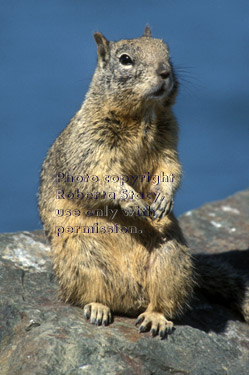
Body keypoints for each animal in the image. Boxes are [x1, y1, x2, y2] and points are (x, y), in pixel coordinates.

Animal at [39, 25, 249, 338]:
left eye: (167, 51)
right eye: (125, 59)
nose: (164, 71)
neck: (142, 116)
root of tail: (130, 298)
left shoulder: (168, 144)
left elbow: (170, 169)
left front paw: (163, 198)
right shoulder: (91, 147)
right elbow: (99, 176)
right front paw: (133, 201)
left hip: (171, 258)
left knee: (163, 301)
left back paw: (155, 318)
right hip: (82, 256)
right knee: (90, 293)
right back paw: (98, 308)